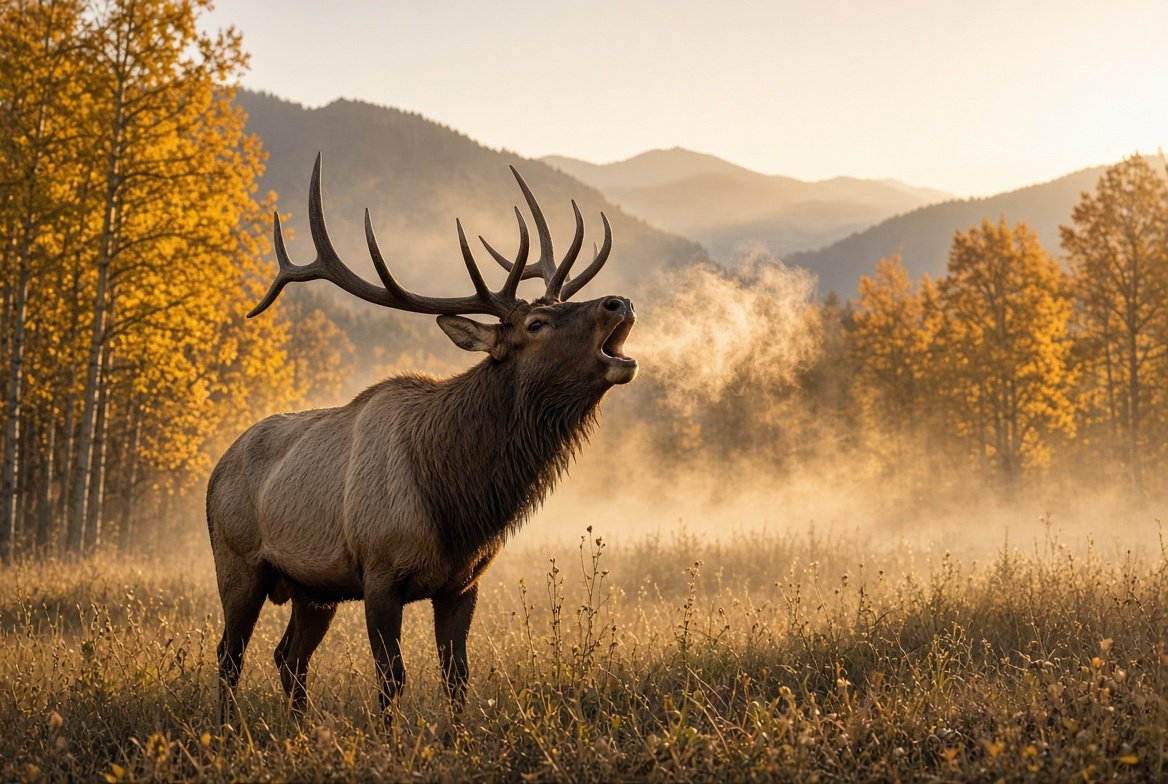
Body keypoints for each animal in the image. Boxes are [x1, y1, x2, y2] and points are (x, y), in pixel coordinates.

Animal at [206, 154, 637, 724]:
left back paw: (297, 729)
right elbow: (392, 679)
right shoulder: (379, 575)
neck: (456, 504)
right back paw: (228, 731)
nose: (618, 301)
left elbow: (457, 678)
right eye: (537, 322)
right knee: (228, 656)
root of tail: (216, 469)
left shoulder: (463, 584)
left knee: (288, 656)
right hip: (237, 564)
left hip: (312, 587)